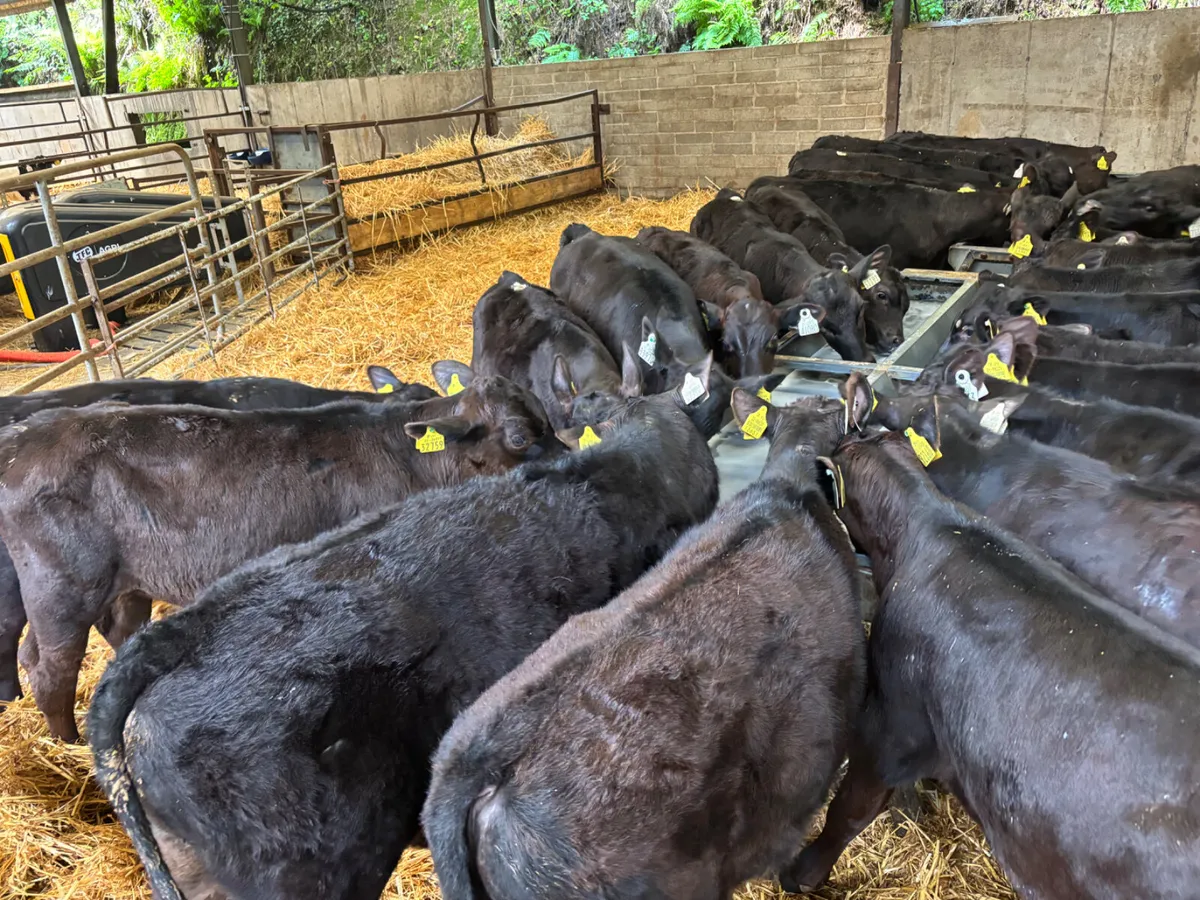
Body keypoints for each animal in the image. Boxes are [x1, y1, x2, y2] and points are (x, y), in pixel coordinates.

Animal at [0, 366, 558, 741]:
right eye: (519, 437)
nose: (570, 461)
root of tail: (25, 438)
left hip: (125, 583)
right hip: (62, 588)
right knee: (48, 667)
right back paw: (69, 747)